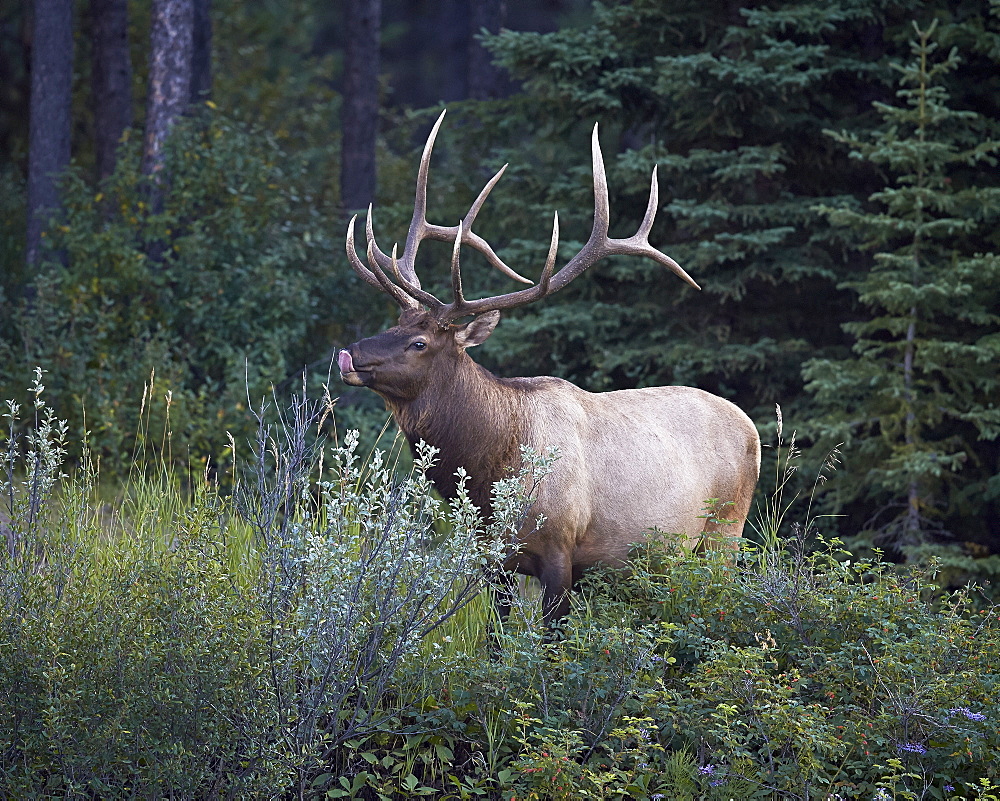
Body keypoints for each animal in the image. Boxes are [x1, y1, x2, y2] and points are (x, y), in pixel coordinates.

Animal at [336, 112, 756, 620]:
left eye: (419, 343)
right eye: (393, 323)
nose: (350, 354)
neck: (491, 475)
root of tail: (754, 428)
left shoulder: (562, 549)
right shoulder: (491, 558)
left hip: (725, 531)